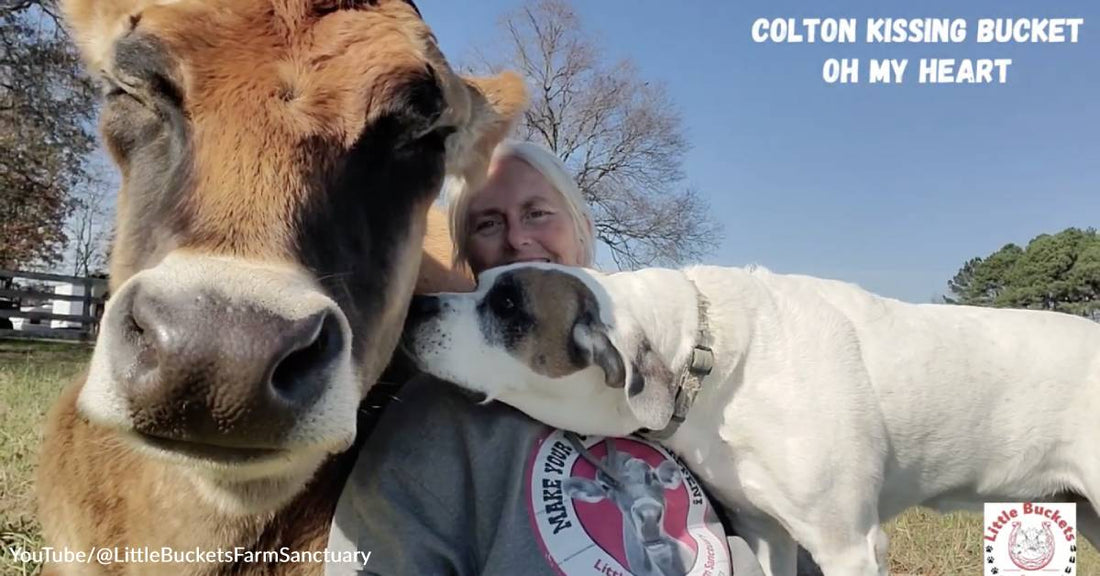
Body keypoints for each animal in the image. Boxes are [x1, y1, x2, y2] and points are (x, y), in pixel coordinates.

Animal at [402, 261, 1100, 576]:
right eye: (479, 281)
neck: (702, 358)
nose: (415, 306)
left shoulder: (848, 544)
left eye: (507, 305)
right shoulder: (766, 534)